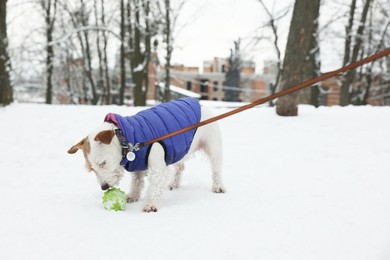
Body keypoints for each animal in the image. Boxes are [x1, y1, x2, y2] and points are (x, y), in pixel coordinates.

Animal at [68, 98, 224, 212]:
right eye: (91, 169)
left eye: (103, 163)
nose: (104, 187)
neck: (125, 138)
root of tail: (201, 104)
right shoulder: (138, 166)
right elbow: (136, 183)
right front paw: (132, 196)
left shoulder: (157, 169)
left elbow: (154, 187)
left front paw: (151, 205)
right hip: (181, 148)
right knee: (180, 168)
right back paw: (174, 184)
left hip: (213, 148)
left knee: (216, 170)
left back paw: (218, 187)